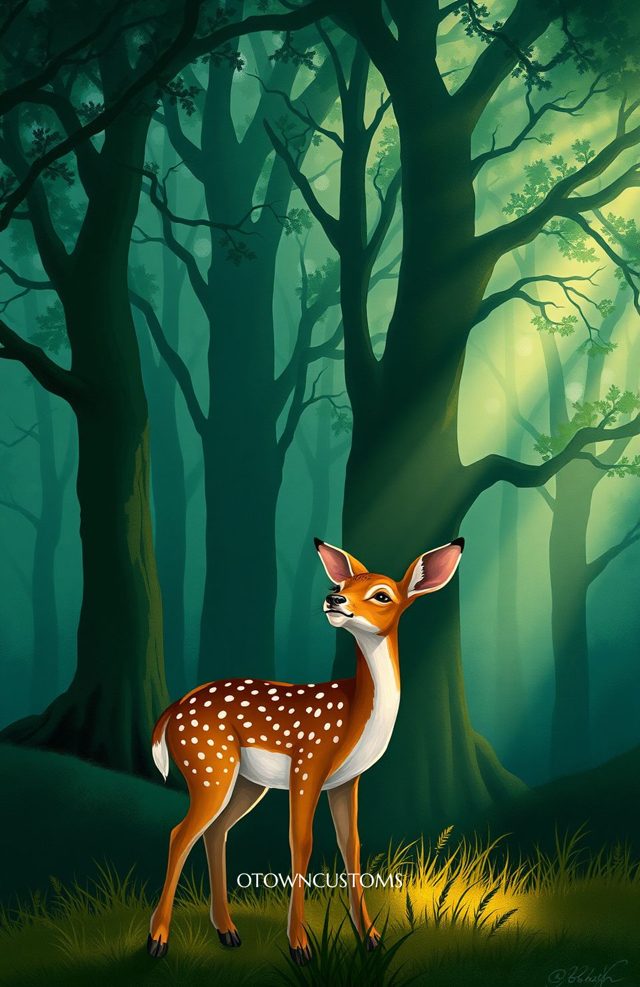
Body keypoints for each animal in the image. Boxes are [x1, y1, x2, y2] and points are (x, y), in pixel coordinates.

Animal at [147, 535, 464, 964]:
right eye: (340, 586)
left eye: (382, 595)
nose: (333, 600)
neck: (355, 715)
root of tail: (173, 710)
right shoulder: (308, 761)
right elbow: (302, 842)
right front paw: (300, 946)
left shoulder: (347, 781)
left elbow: (352, 845)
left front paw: (371, 939)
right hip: (208, 764)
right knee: (180, 833)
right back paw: (157, 940)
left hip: (245, 780)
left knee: (216, 831)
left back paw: (228, 931)